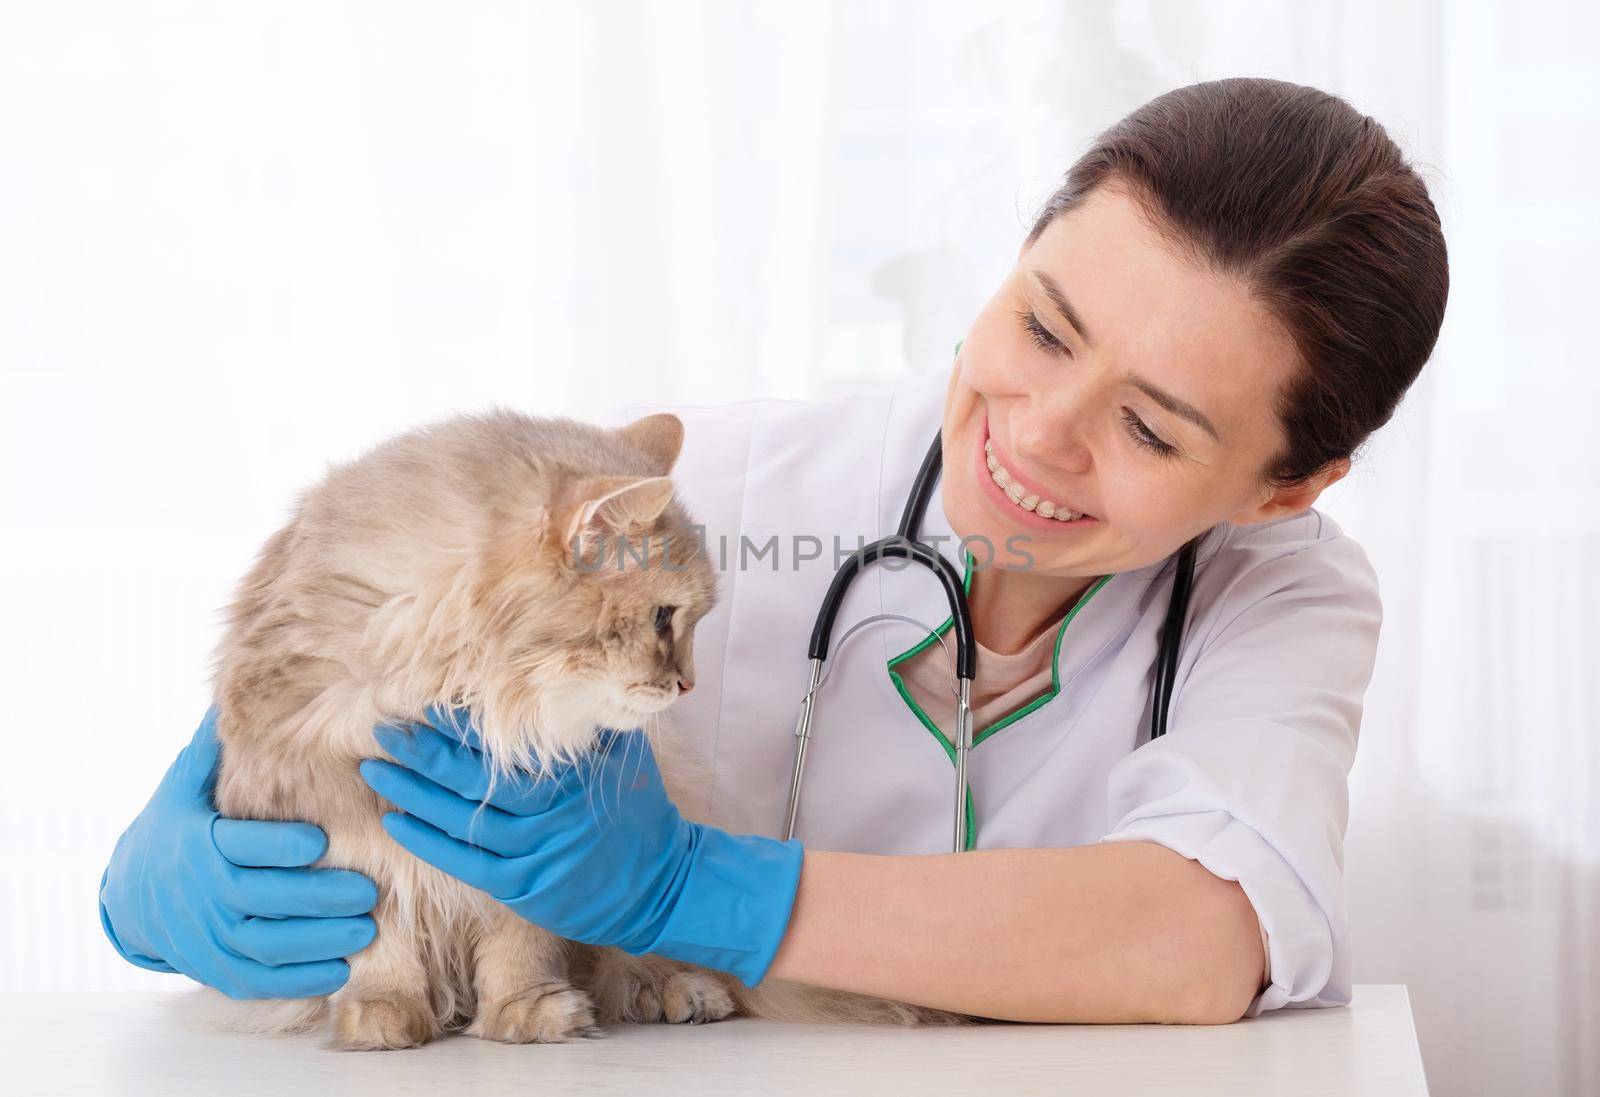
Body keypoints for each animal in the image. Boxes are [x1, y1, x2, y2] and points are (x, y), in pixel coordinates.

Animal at [204, 407, 953, 1055]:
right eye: (663, 618)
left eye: (687, 621)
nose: (689, 684)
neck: (466, 701)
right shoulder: (343, 832)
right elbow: (377, 943)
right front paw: (382, 1017)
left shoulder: (525, 852)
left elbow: (519, 945)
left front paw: (529, 1014)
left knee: (647, 957)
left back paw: (681, 992)